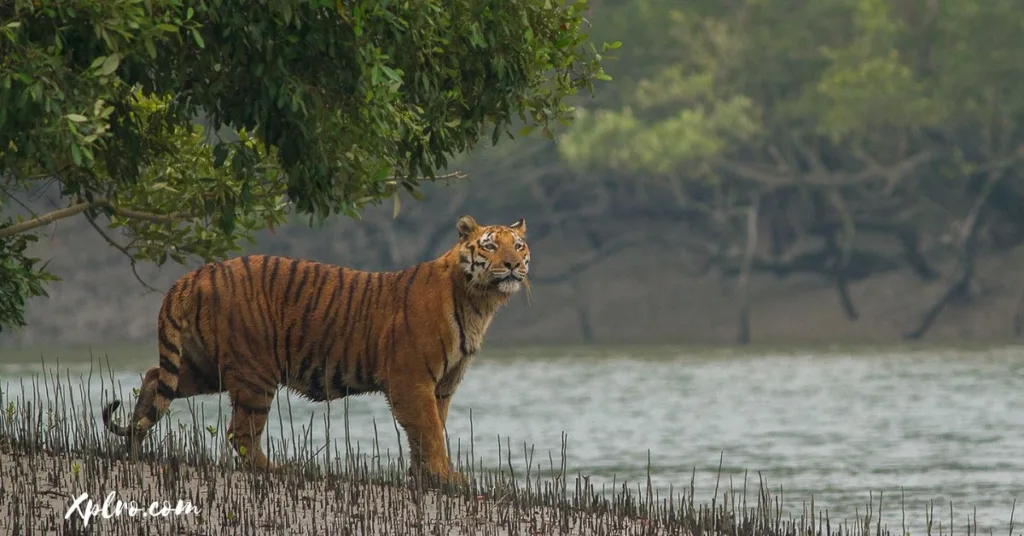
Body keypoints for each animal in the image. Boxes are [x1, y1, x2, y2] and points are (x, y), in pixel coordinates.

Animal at [100, 214, 532, 485]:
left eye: (519, 245)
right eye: (489, 247)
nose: (513, 264)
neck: (479, 302)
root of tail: (194, 274)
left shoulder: (441, 385)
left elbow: (429, 432)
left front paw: (426, 477)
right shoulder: (412, 380)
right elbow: (428, 431)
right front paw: (446, 477)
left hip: (205, 367)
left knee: (154, 379)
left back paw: (134, 444)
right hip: (255, 373)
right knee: (240, 433)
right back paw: (278, 470)